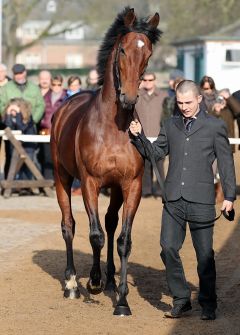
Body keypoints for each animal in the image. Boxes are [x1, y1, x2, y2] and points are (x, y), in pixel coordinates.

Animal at [50, 7, 161, 318]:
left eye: (148, 52)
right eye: (122, 49)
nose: (129, 98)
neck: (113, 128)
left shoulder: (131, 185)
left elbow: (123, 240)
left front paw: (122, 301)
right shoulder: (89, 183)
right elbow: (95, 234)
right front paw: (94, 282)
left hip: (115, 190)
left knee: (111, 223)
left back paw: (110, 280)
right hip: (62, 178)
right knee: (69, 225)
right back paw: (73, 284)